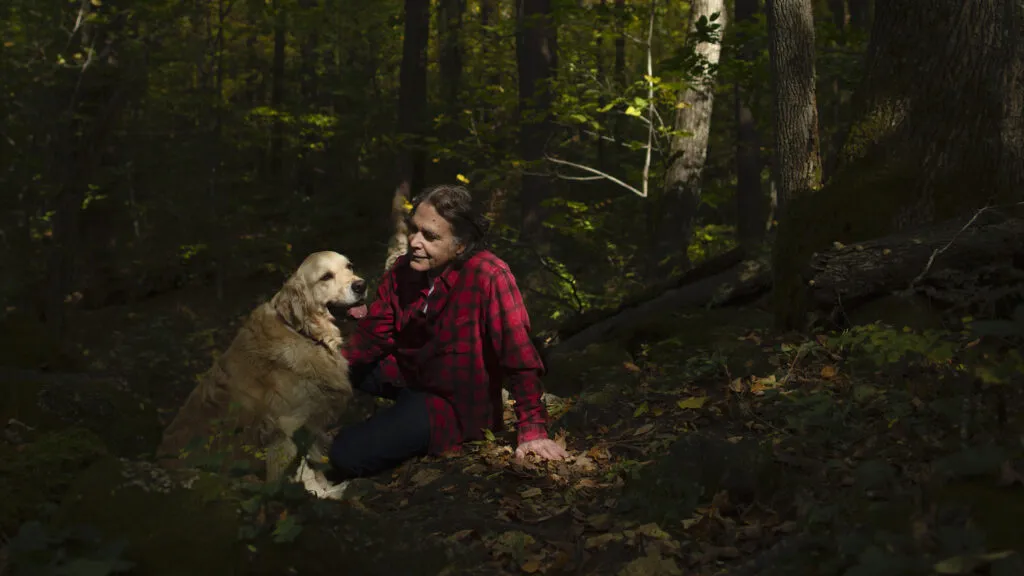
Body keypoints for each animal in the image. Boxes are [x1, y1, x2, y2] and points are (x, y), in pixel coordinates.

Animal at [155, 249, 368, 496]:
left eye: (349, 266)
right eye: (326, 277)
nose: (361, 285)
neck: (303, 332)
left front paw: (326, 488)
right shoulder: (288, 425)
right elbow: (303, 468)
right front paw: (320, 494)